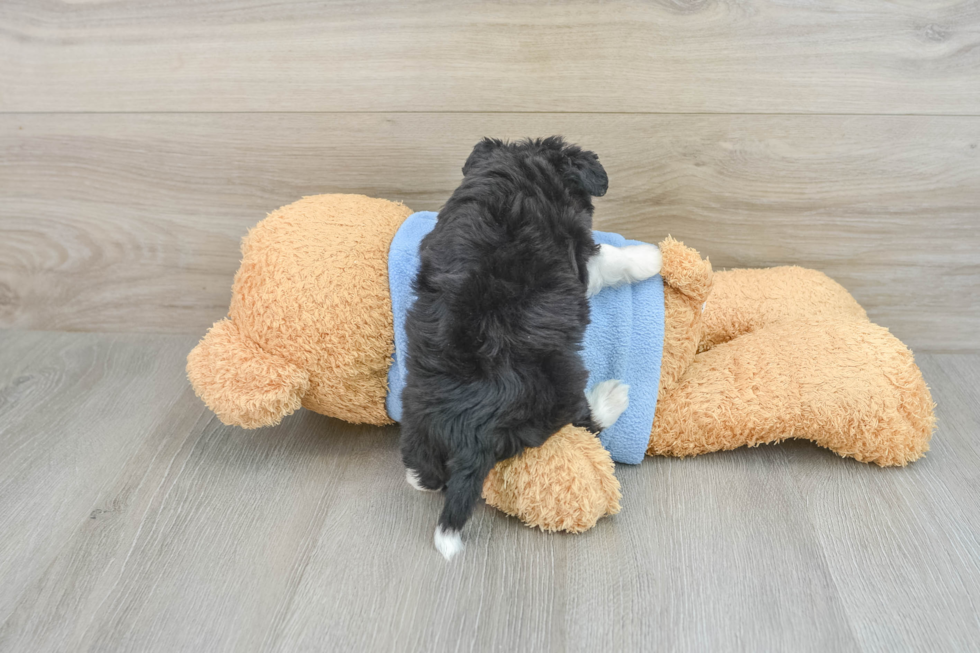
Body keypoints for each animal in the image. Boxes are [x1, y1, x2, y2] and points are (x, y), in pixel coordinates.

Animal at [398, 135, 660, 556]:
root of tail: (471, 434)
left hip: (417, 410)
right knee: (581, 419)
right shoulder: (579, 253)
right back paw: (613, 396)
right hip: (558, 383)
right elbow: (611, 260)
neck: (521, 176)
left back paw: (416, 475)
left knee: (427, 471)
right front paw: (650, 256)